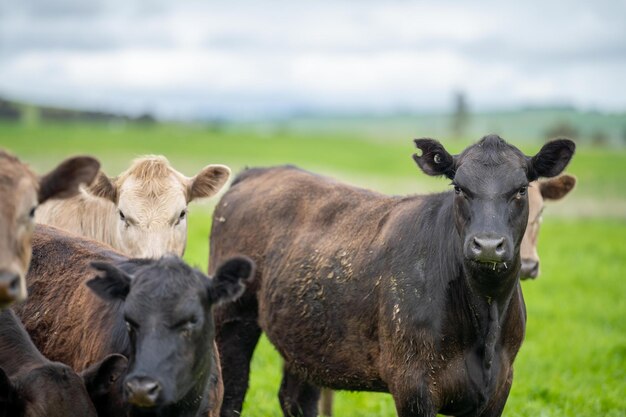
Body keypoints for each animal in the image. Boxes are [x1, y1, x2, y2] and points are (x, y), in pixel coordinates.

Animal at [208, 136, 572, 416]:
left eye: (521, 189)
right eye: (459, 188)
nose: (487, 244)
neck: (486, 317)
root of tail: (260, 172)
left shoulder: (498, 387)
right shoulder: (413, 385)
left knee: (296, 399)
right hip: (233, 319)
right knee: (232, 393)